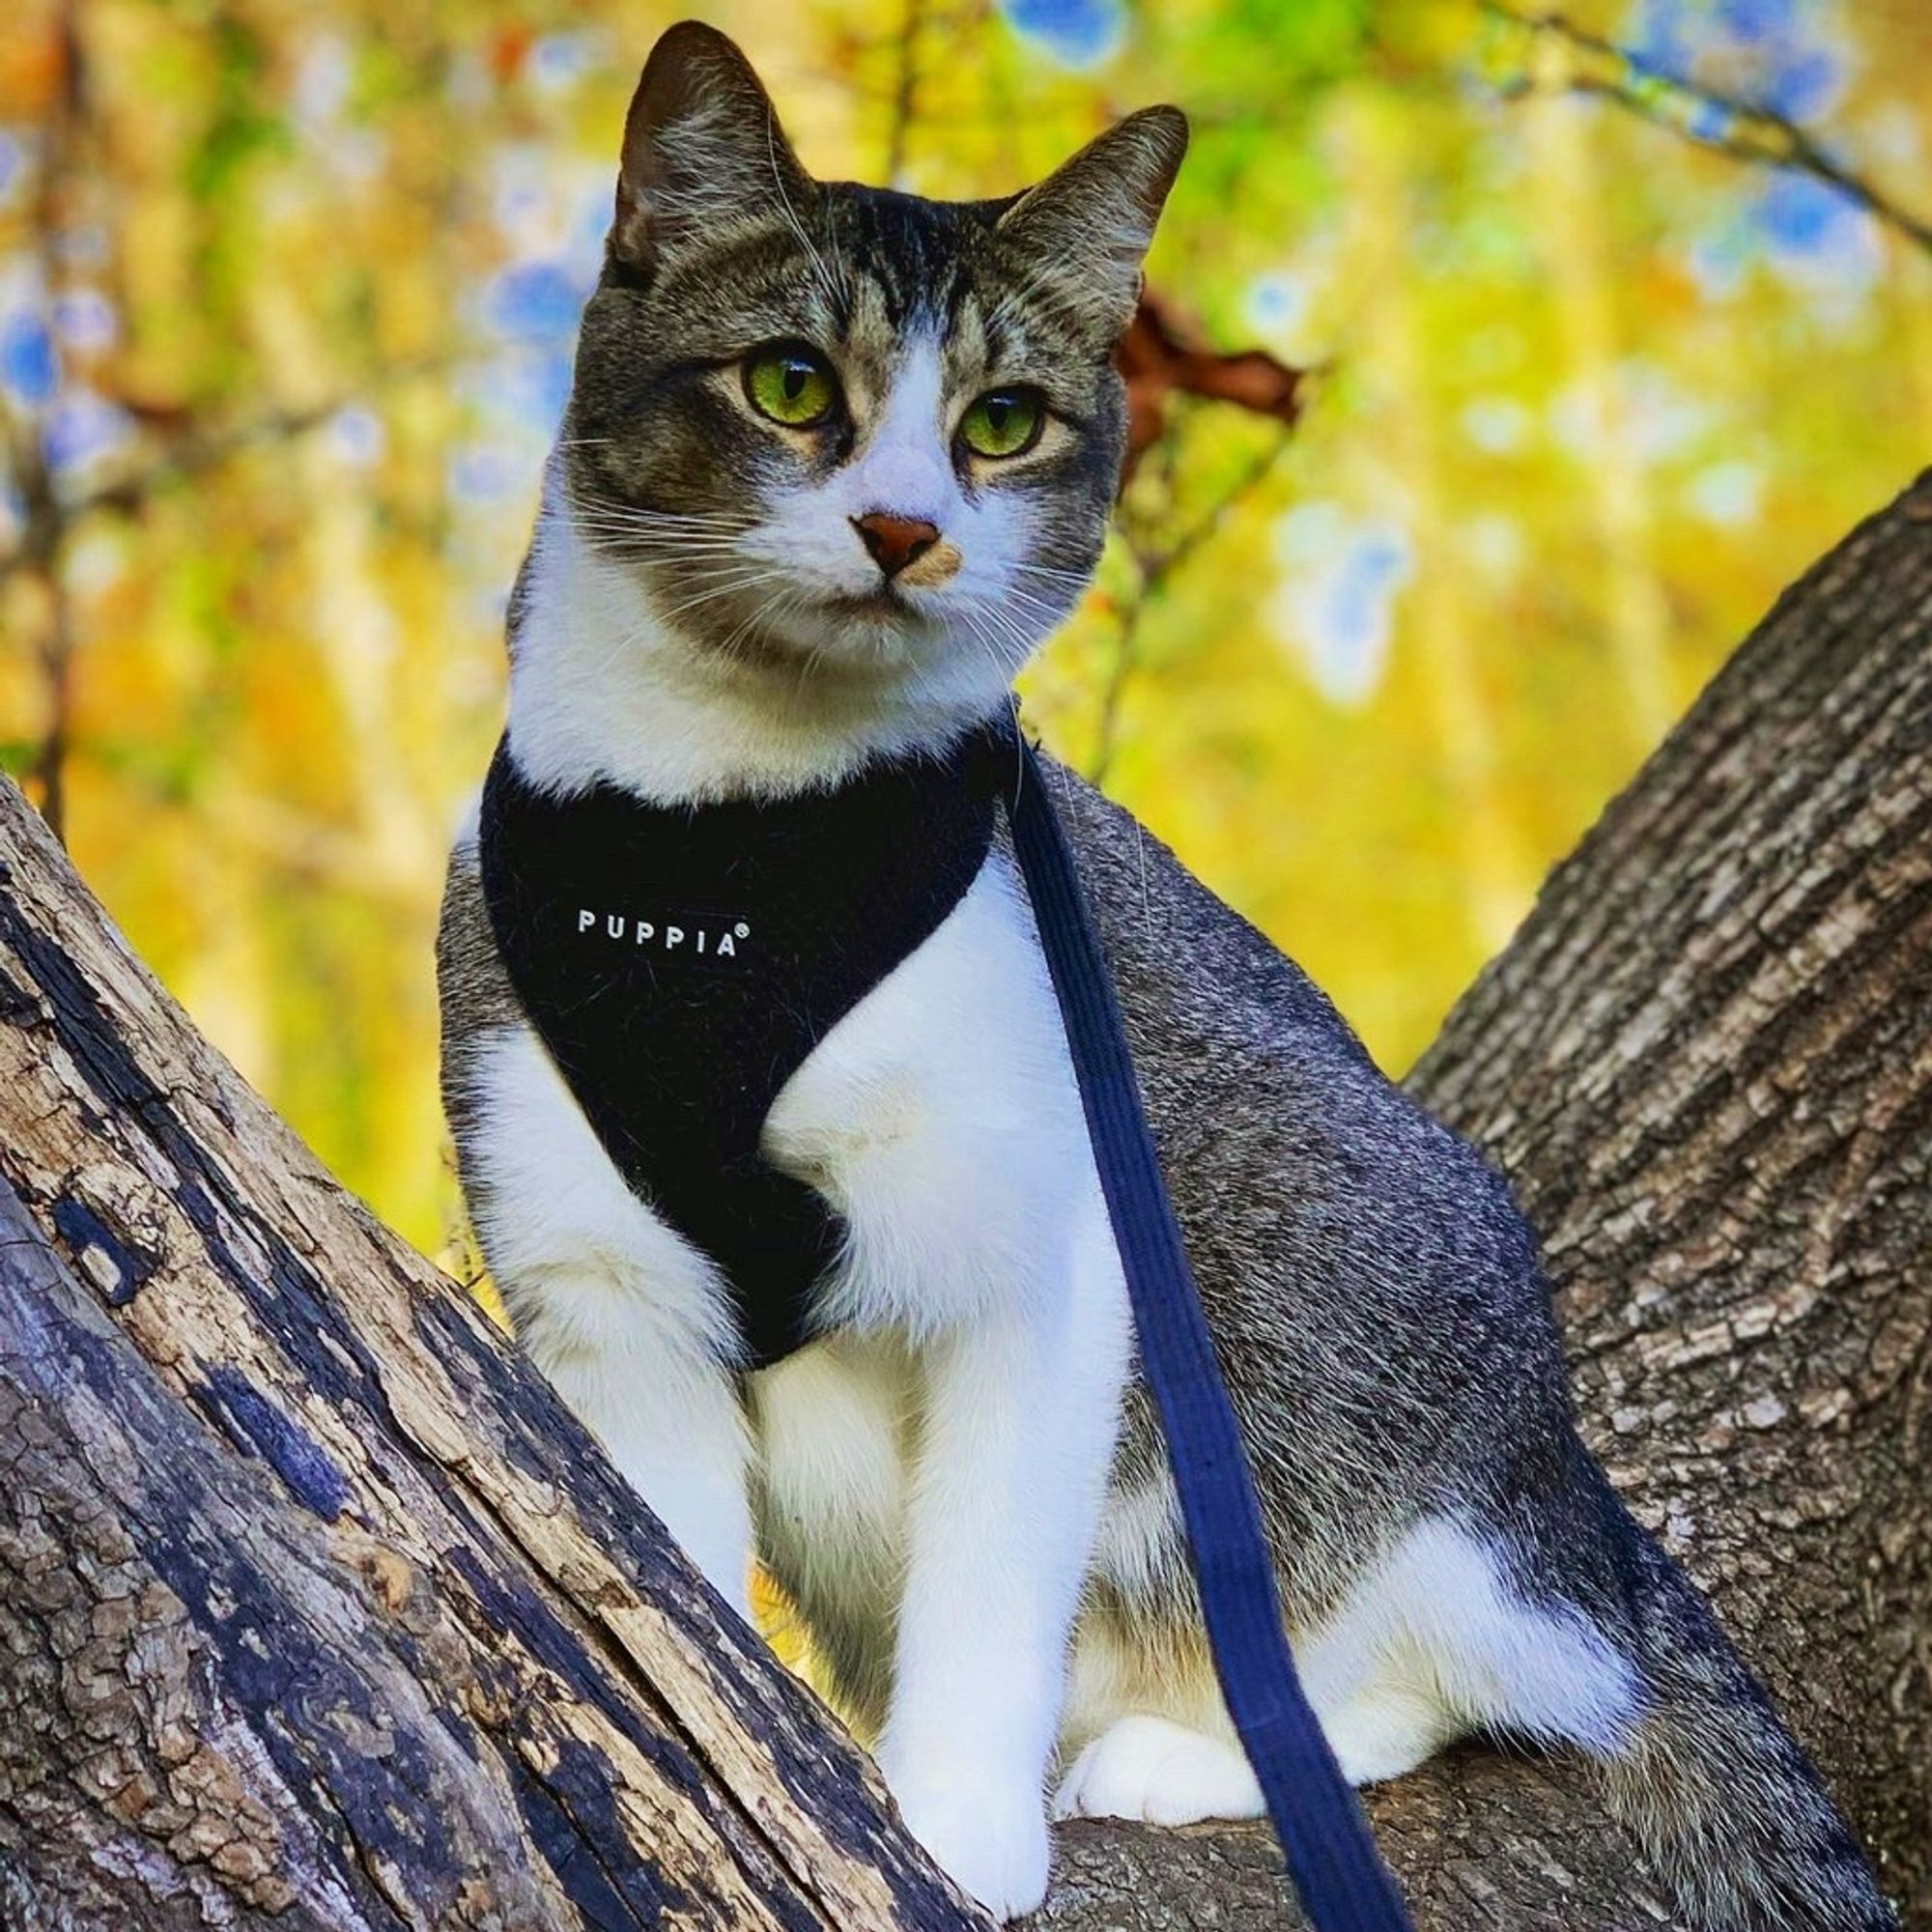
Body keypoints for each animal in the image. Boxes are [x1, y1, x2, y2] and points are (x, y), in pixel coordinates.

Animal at [435, 18, 1886, 1932]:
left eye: (1002, 425)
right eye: (792, 387)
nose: (904, 529)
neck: (730, 838)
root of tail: (1578, 1502)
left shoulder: (1050, 1260)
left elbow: (993, 1587)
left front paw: (951, 1824)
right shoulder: (601, 1284)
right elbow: (660, 1564)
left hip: (1358, 1318)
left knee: (1459, 1681)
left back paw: (1178, 1751)